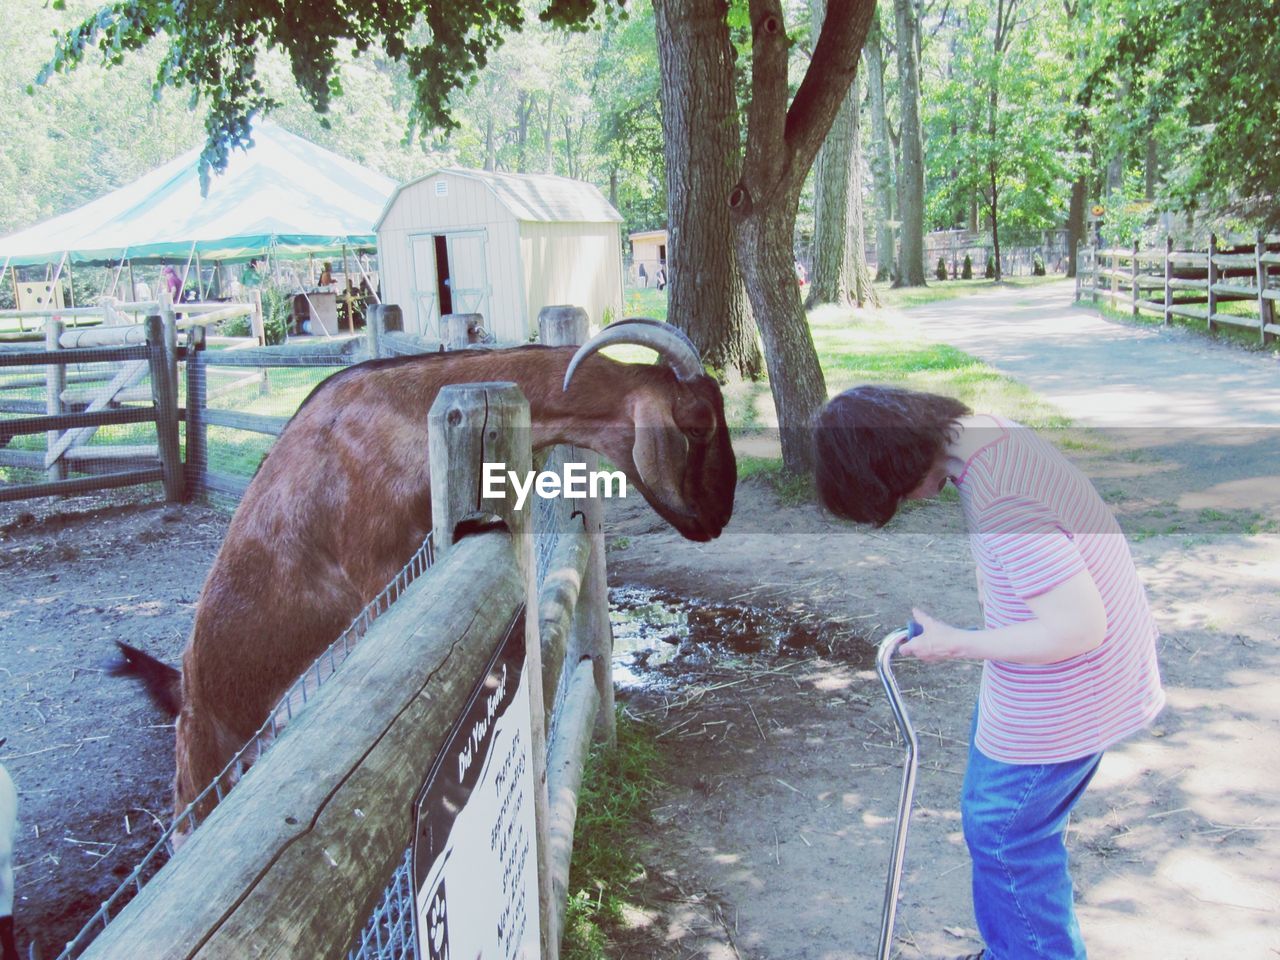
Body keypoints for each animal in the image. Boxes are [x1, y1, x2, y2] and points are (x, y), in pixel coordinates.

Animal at [122, 320, 742, 829]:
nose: (716, 518)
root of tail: (188, 686)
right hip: (199, 770)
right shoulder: (379, 573)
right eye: (698, 424)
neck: (402, 411)